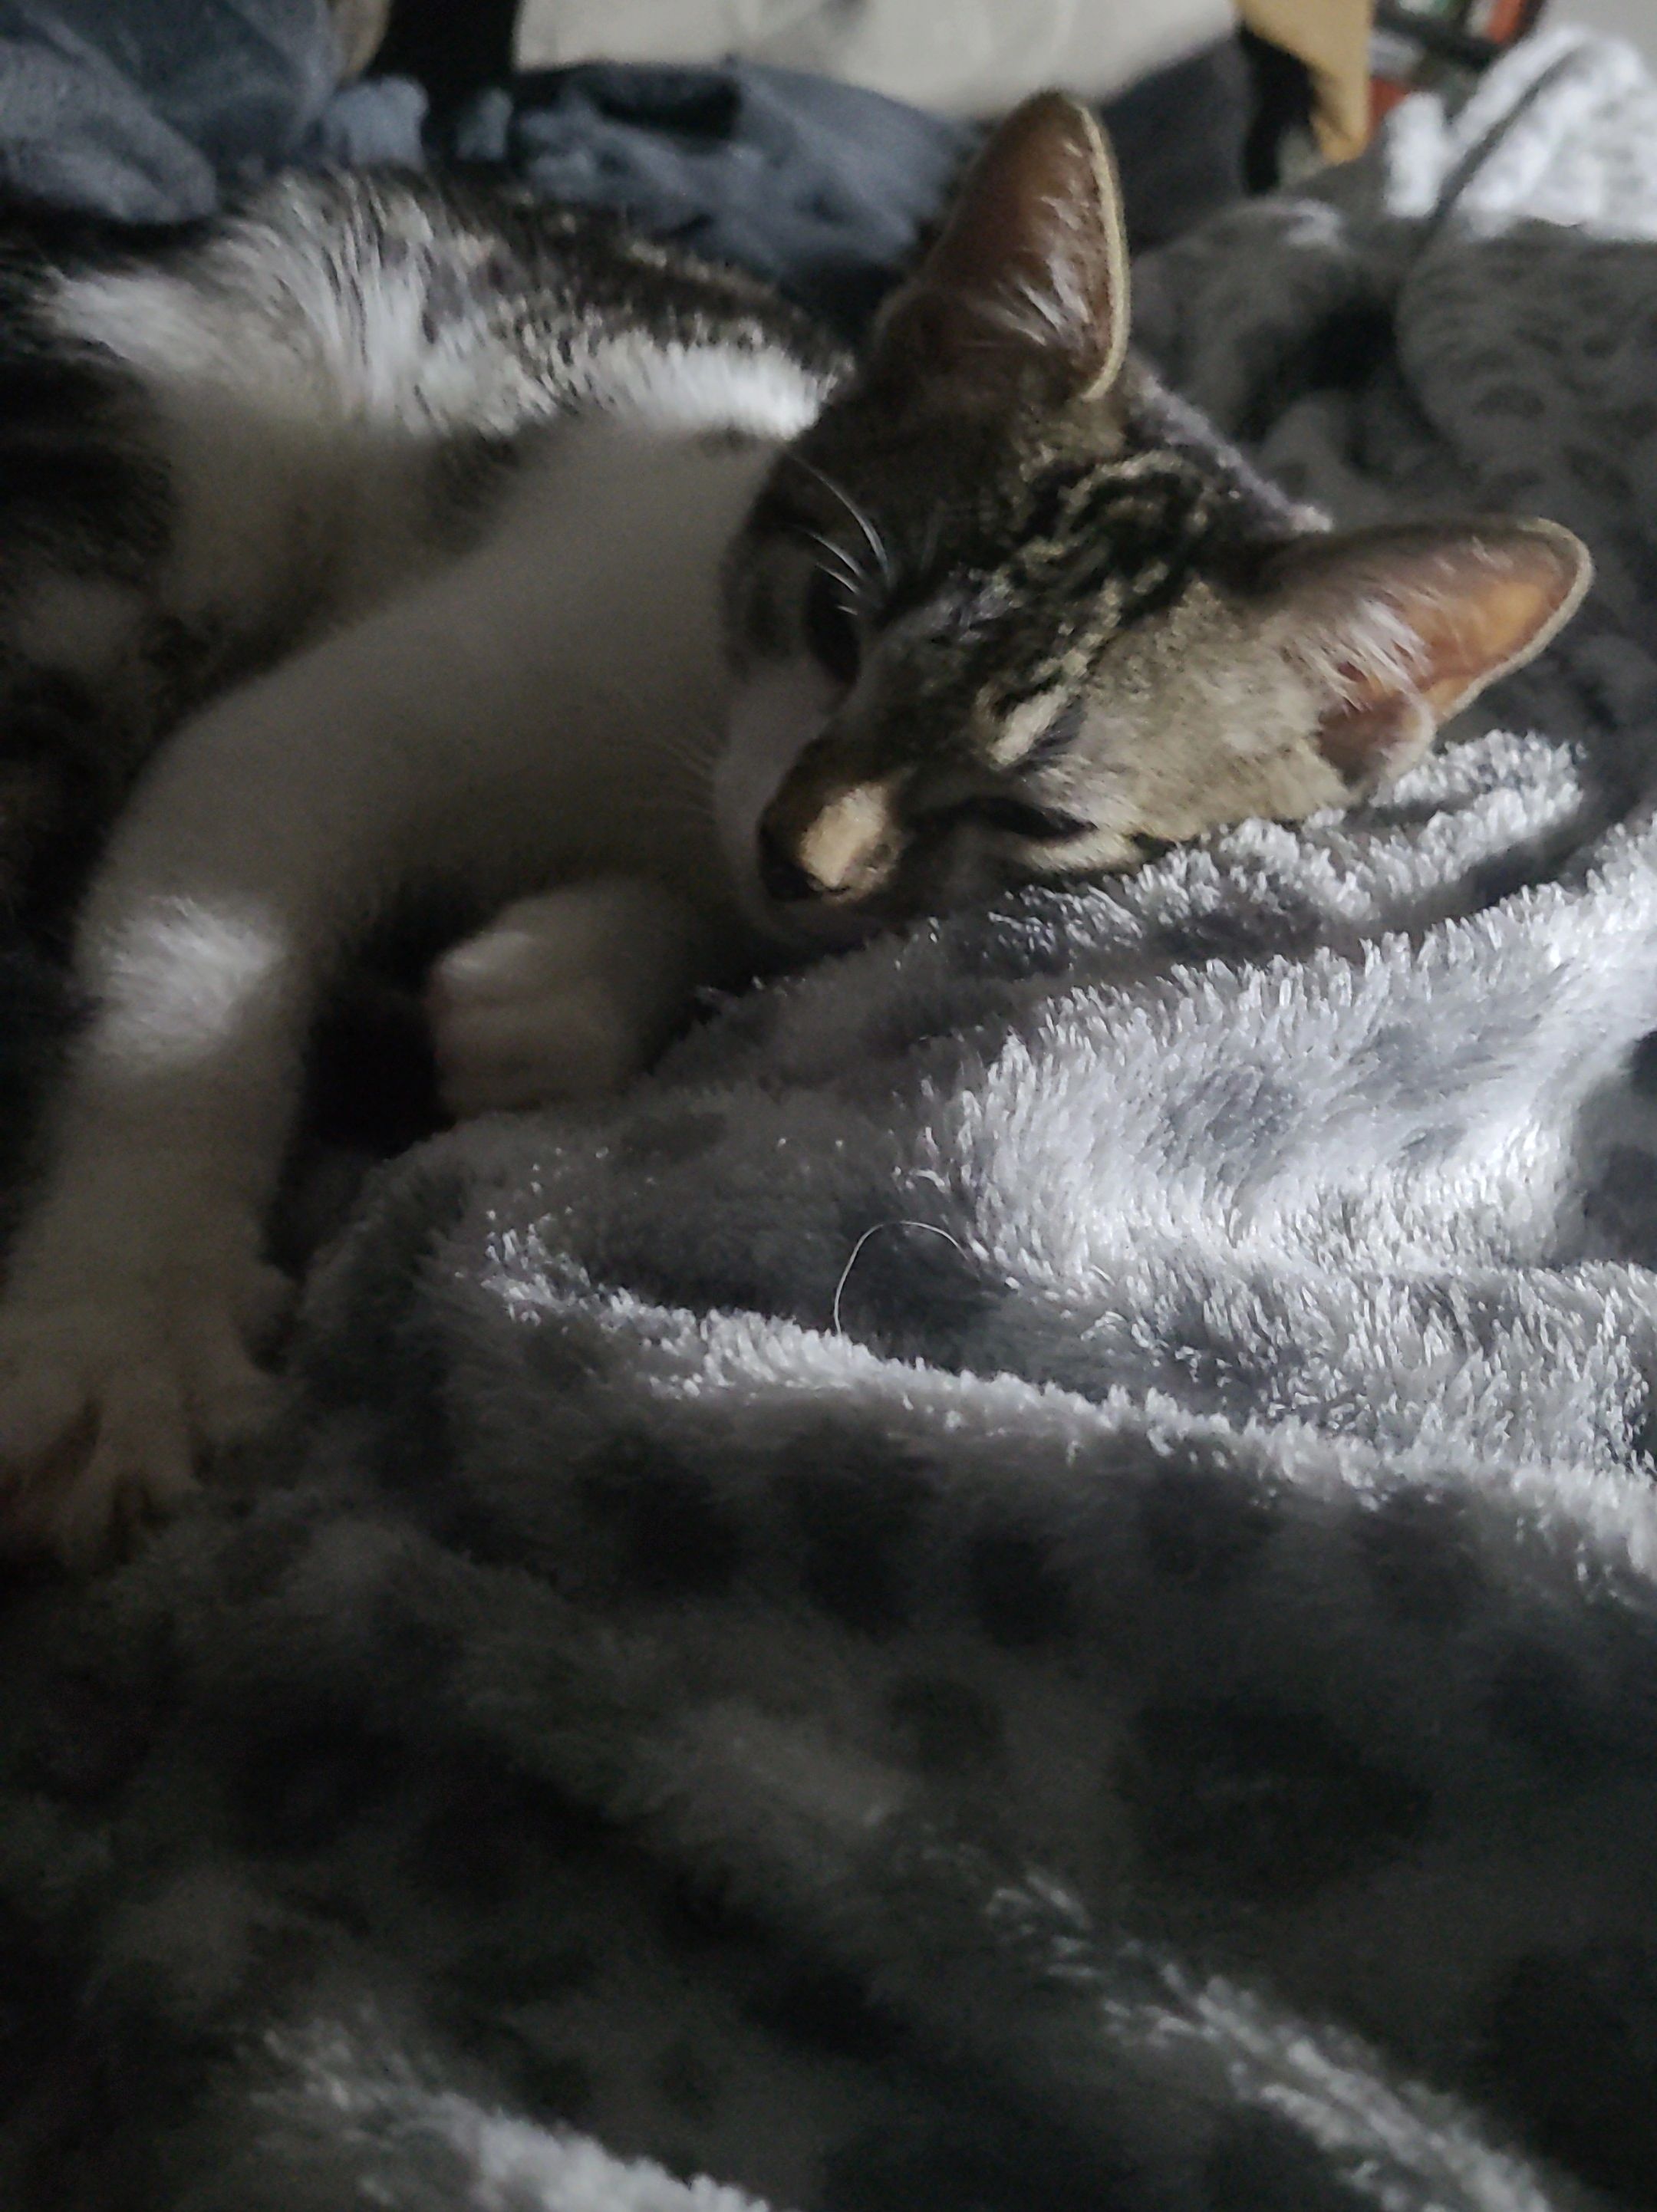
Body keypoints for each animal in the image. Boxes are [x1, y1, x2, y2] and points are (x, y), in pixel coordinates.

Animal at [0, 92, 1590, 1565]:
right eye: (834, 624)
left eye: (1029, 809)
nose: (798, 846)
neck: (691, 757)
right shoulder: (355, 718)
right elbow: (200, 960)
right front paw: (127, 1322)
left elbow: (692, 946)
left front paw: (557, 983)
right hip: (173, 492)